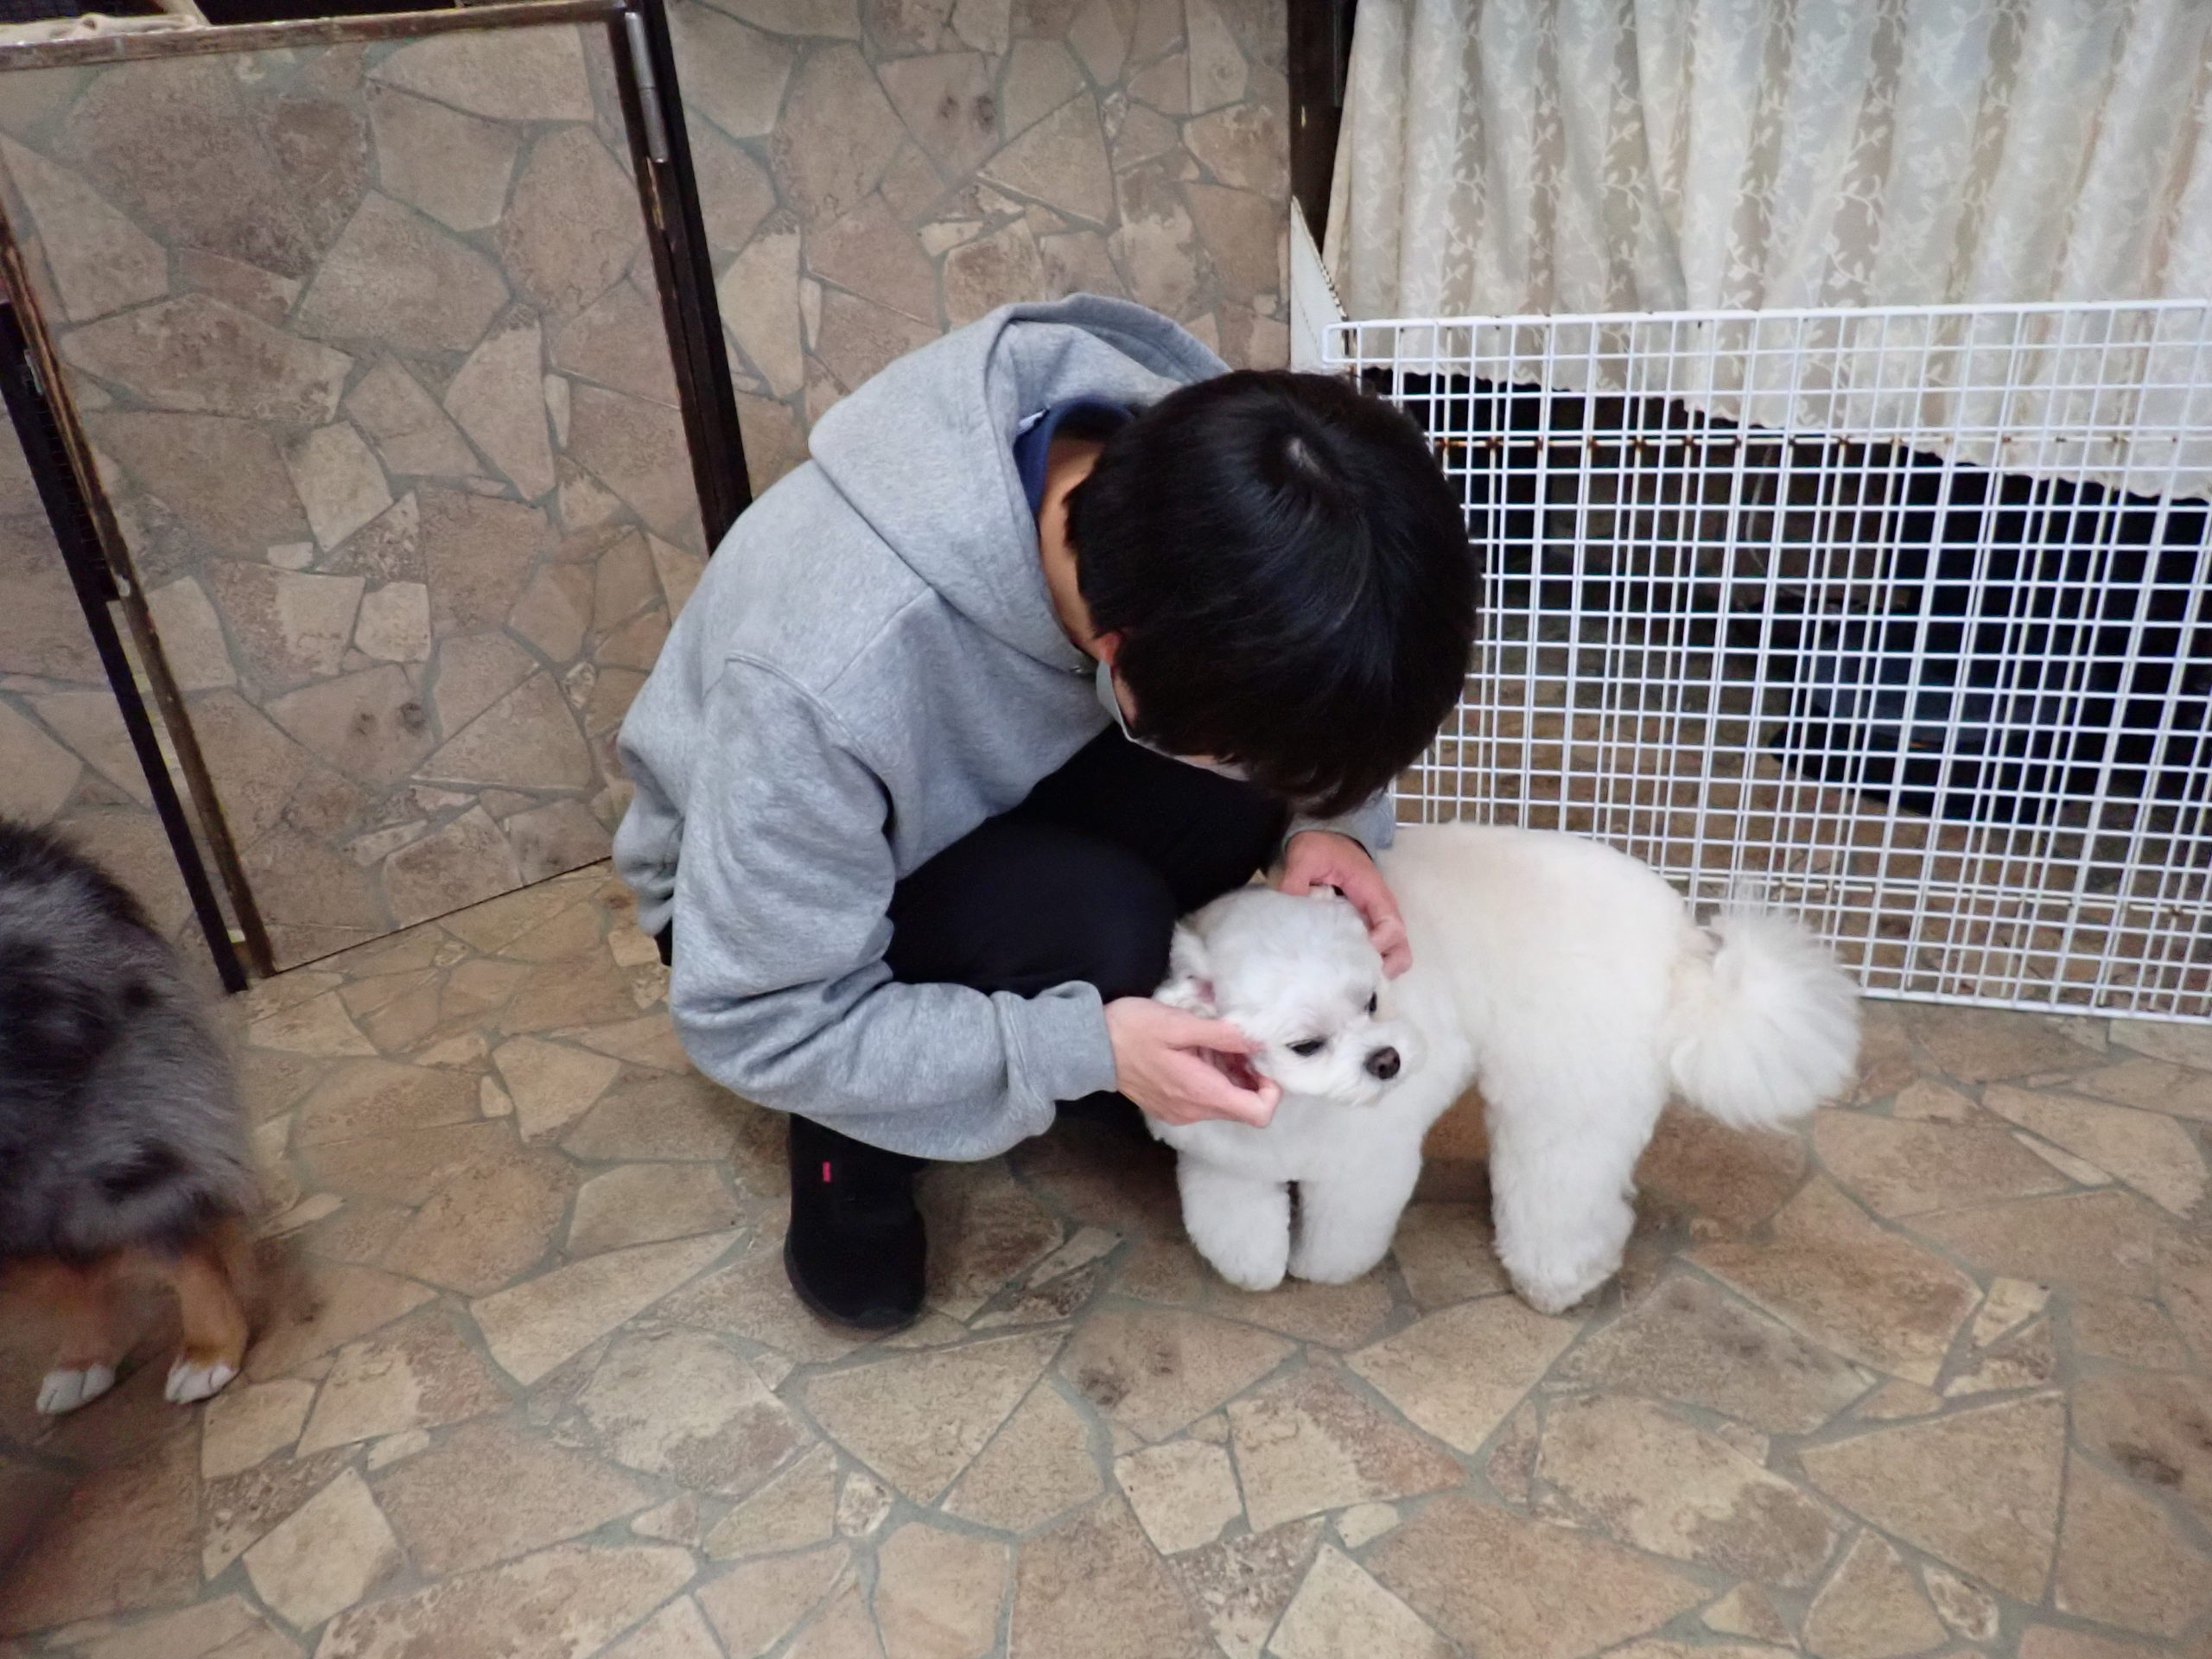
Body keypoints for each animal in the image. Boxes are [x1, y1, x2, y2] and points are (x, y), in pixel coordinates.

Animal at [1152, 822, 1860, 1313]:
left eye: (1374, 1000)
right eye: (1305, 1044)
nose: (1388, 1061)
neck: (1301, 1110)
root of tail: (1677, 942)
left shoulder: (1368, 1165)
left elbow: (1342, 1234)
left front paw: (1318, 1270)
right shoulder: (1221, 1153)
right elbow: (1232, 1225)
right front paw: (1254, 1268)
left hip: (1567, 1088)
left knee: (1563, 1187)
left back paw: (1555, 1280)